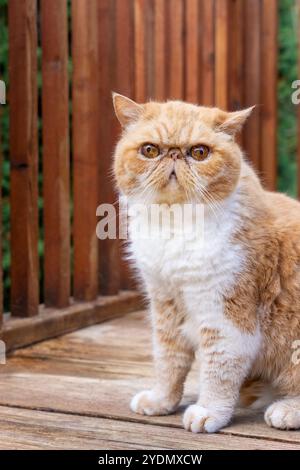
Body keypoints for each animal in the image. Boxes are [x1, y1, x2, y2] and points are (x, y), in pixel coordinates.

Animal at [111, 93, 300, 436]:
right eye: (150, 150)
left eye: (199, 152)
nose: (174, 154)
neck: (175, 224)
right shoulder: (165, 306)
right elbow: (168, 361)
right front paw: (161, 401)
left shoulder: (225, 315)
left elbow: (218, 370)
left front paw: (208, 412)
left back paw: (287, 410)